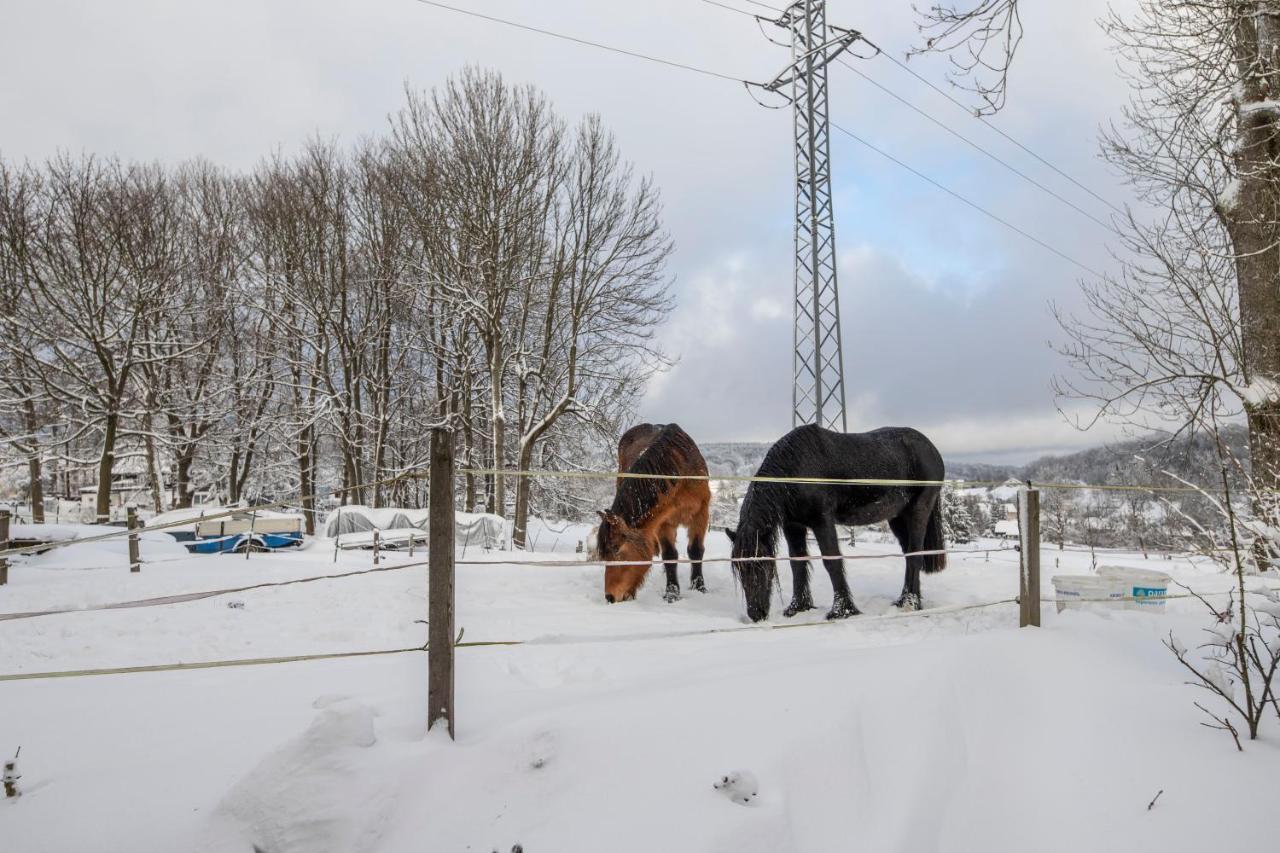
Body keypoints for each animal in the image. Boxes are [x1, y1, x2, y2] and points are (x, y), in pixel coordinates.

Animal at [596, 422, 711, 601]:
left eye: (616, 548)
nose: (610, 597)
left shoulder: (701, 514)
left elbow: (696, 550)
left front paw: (699, 587)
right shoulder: (663, 521)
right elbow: (670, 555)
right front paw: (672, 593)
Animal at [727, 422, 947, 617]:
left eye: (763, 565)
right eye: (739, 568)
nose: (756, 614)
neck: (796, 470)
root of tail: (931, 449)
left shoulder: (822, 521)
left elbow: (831, 561)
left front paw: (842, 611)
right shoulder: (793, 526)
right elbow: (797, 564)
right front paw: (797, 608)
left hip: (918, 511)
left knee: (915, 555)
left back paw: (910, 603)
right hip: (897, 518)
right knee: (910, 555)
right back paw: (907, 601)